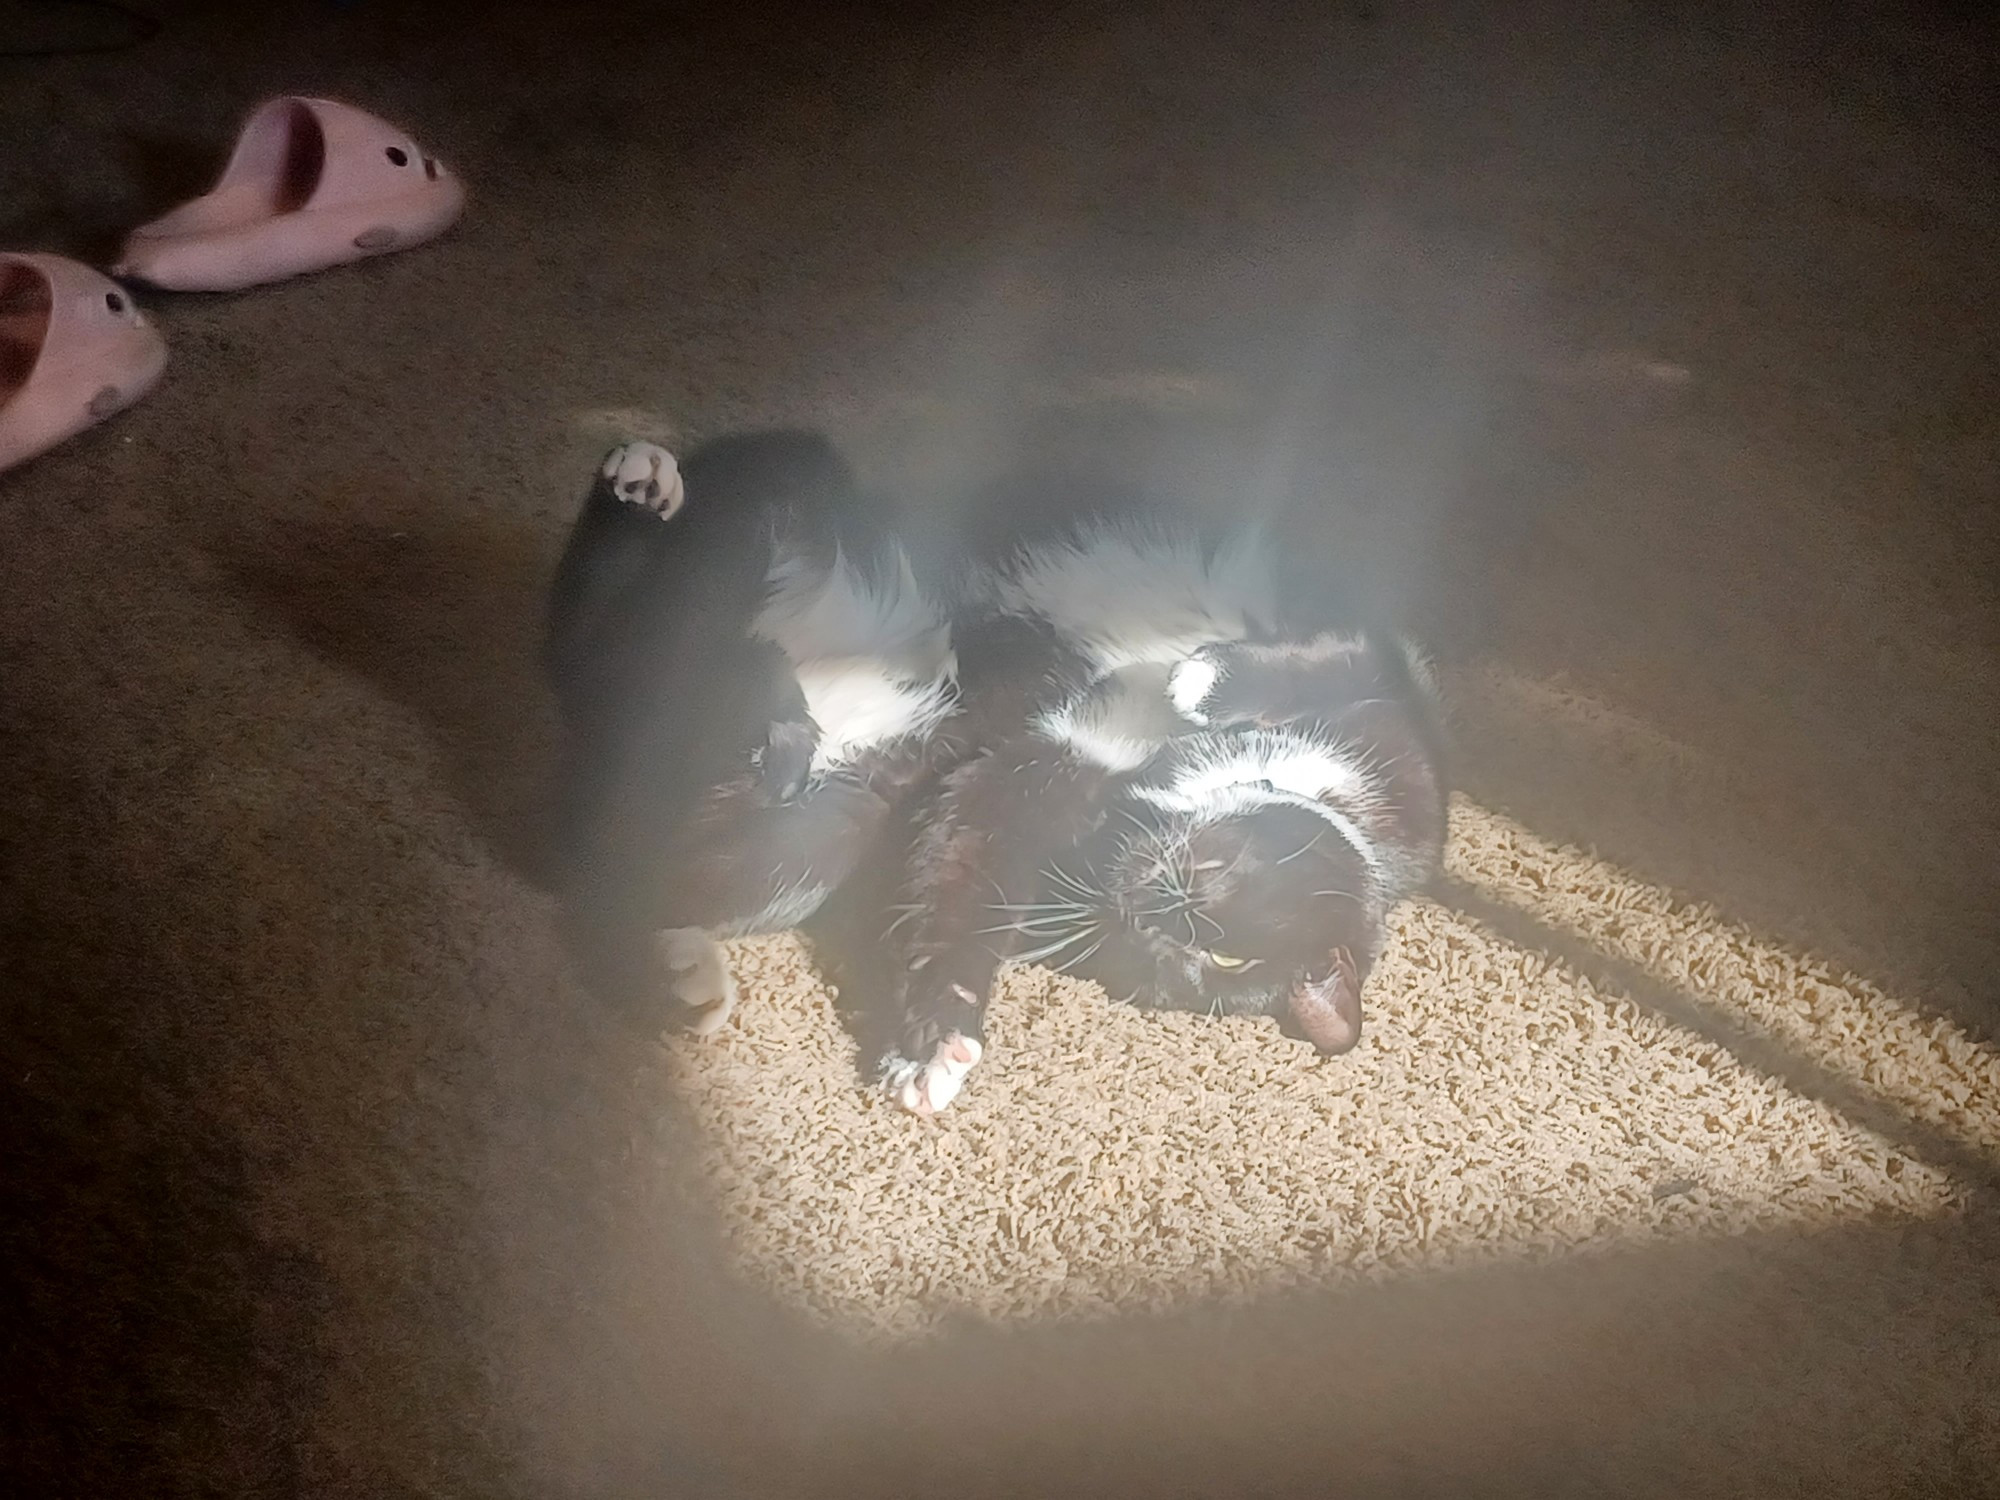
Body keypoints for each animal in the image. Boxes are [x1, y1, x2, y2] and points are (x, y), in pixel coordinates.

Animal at [872, 506, 1440, 1120]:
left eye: (1215, 960)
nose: (1145, 912)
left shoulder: (1050, 768)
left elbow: (963, 856)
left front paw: (940, 1049)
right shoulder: (1399, 709)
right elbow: (1337, 657)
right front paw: (1204, 679)